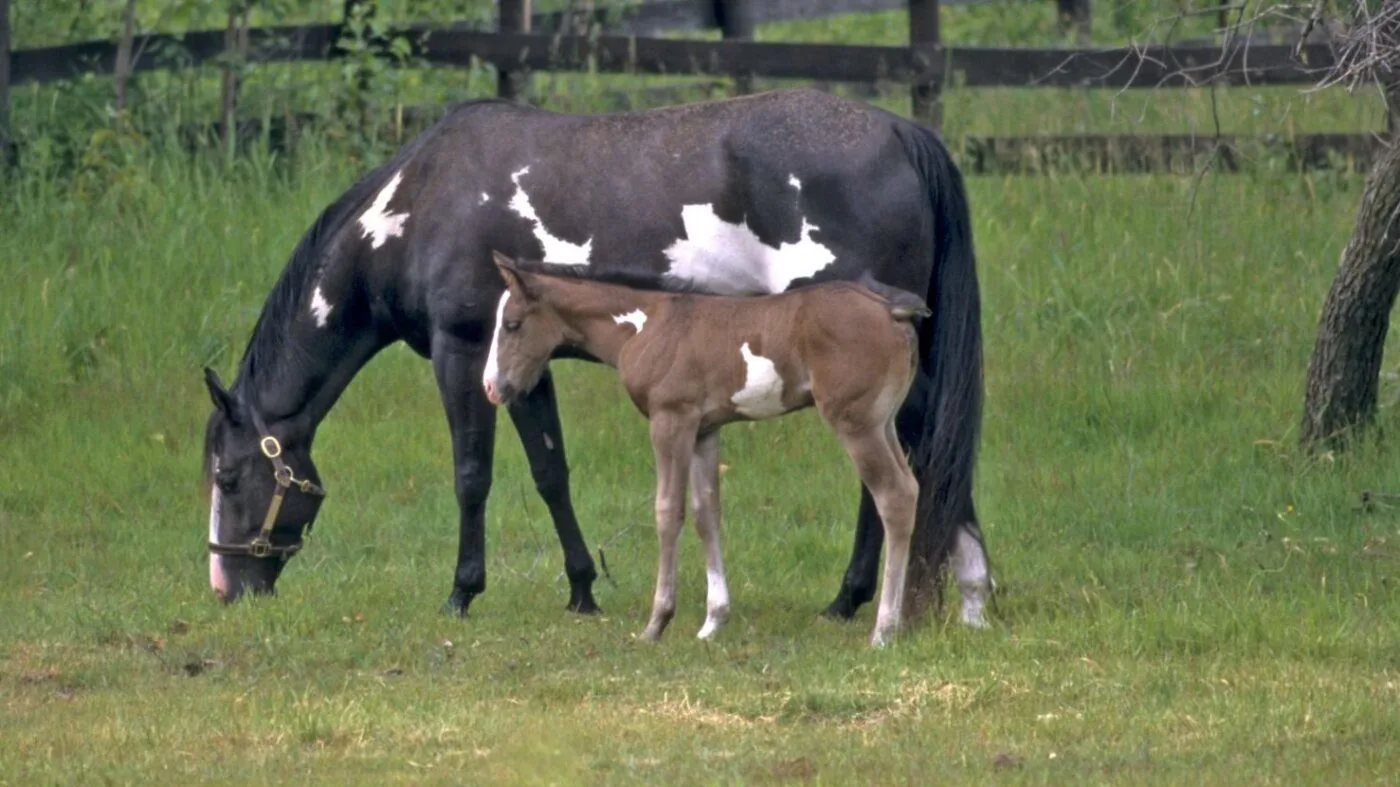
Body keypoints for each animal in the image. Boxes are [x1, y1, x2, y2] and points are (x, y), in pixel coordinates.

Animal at [484, 253, 933, 646]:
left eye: (512, 324)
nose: (492, 387)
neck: (647, 324)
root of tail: (889, 310)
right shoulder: (705, 430)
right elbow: (706, 512)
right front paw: (713, 621)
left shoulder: (671, 420)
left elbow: (668, 511)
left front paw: (656, 622)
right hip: (883, 423)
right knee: (911, 490)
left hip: (856, 423)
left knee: (892, 496)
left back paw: (883, 631)